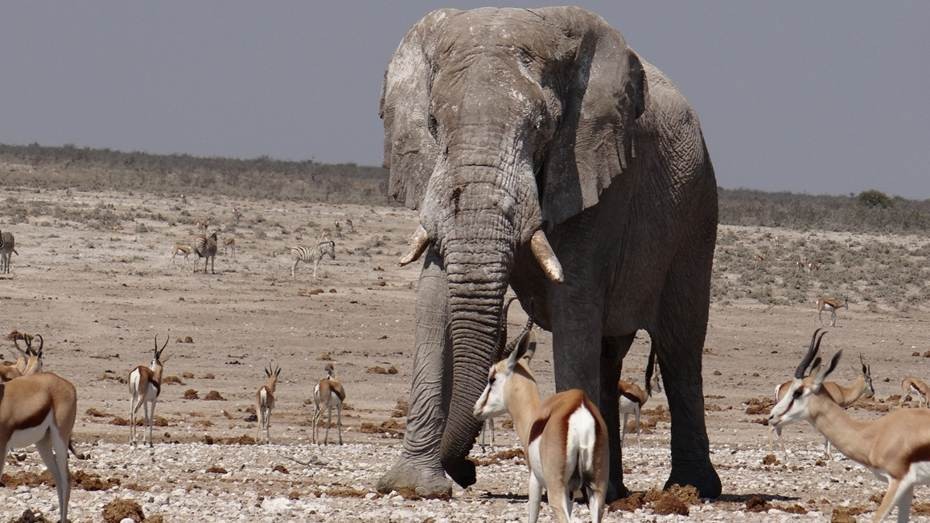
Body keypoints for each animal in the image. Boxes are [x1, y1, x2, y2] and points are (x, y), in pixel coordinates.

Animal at [376, 6, 716, 502]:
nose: (468, 473)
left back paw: (691, 488)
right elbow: (434, 301)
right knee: (610, 356)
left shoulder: (592, 172)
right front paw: (413, 486)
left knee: (679, 349)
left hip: (697, 213)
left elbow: (574, 305)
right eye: (435, 124)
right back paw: (613, 489)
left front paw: (568, 490)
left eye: (542, 128)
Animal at [472, 320, 608, 523]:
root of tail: (580, 406)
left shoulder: (534, 480)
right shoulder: (571, 491)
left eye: (492, 378)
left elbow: (532, 515)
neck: (534, 417)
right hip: (597, 490)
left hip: (556, 490)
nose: (476, 408)